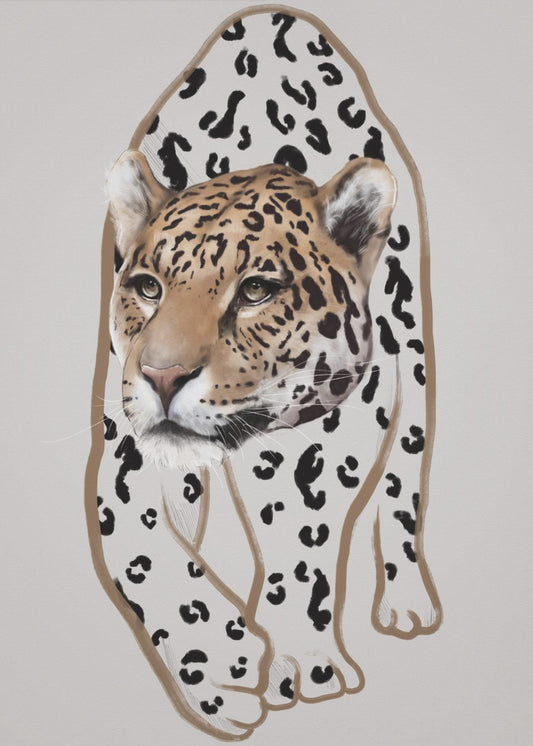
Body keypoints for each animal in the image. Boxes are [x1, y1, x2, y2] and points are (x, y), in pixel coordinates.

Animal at [87, 5, 441, 741]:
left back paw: (406, 602)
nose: (162, 377)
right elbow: (145, 553)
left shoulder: (326, 441)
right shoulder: (123, 450)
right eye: (145, 287)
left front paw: (302, 665)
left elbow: (302, 553)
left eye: (255, 290)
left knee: (401, 490)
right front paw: (221, 663)